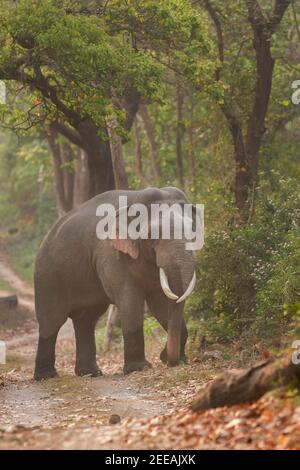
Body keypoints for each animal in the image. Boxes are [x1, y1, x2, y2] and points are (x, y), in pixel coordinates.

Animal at [34, 185, 203, 380]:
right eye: (153, 237)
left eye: (193, 234)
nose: (167, 357)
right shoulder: (109, 252)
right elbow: (130, 301)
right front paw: (140, 368)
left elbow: (159, 303)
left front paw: (177, 360)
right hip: (48, 276)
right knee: (51, 321)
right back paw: (46, 376)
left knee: (86, 320)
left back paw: (90, 373)